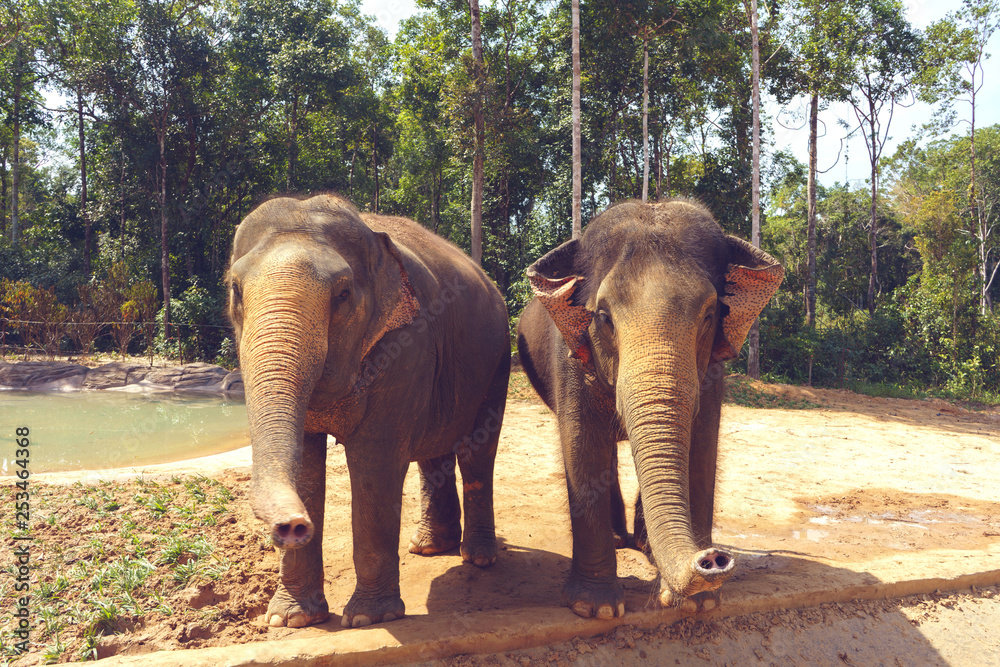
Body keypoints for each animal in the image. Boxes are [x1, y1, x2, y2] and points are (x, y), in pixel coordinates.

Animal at [227, 194, 510, 629]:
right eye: (236, 290)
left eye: (343, 294)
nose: (292, 526)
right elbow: (306, 462)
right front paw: (291, 620)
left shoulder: (407, 342)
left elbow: (376, 459)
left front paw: (368, 618)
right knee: (434, 451)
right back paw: (427, 547)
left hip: (497, 361)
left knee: (476, 451)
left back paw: (477, 558)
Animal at [516, 199, 783, 618]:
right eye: (603, 317)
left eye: (710, 315)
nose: (713, 559)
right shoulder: (571, 358)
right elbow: (581, 447)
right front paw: (597, 609)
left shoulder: (711, 372)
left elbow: (701, 450)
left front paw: (697, 602)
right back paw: (619, 539)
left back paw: (643, 546)